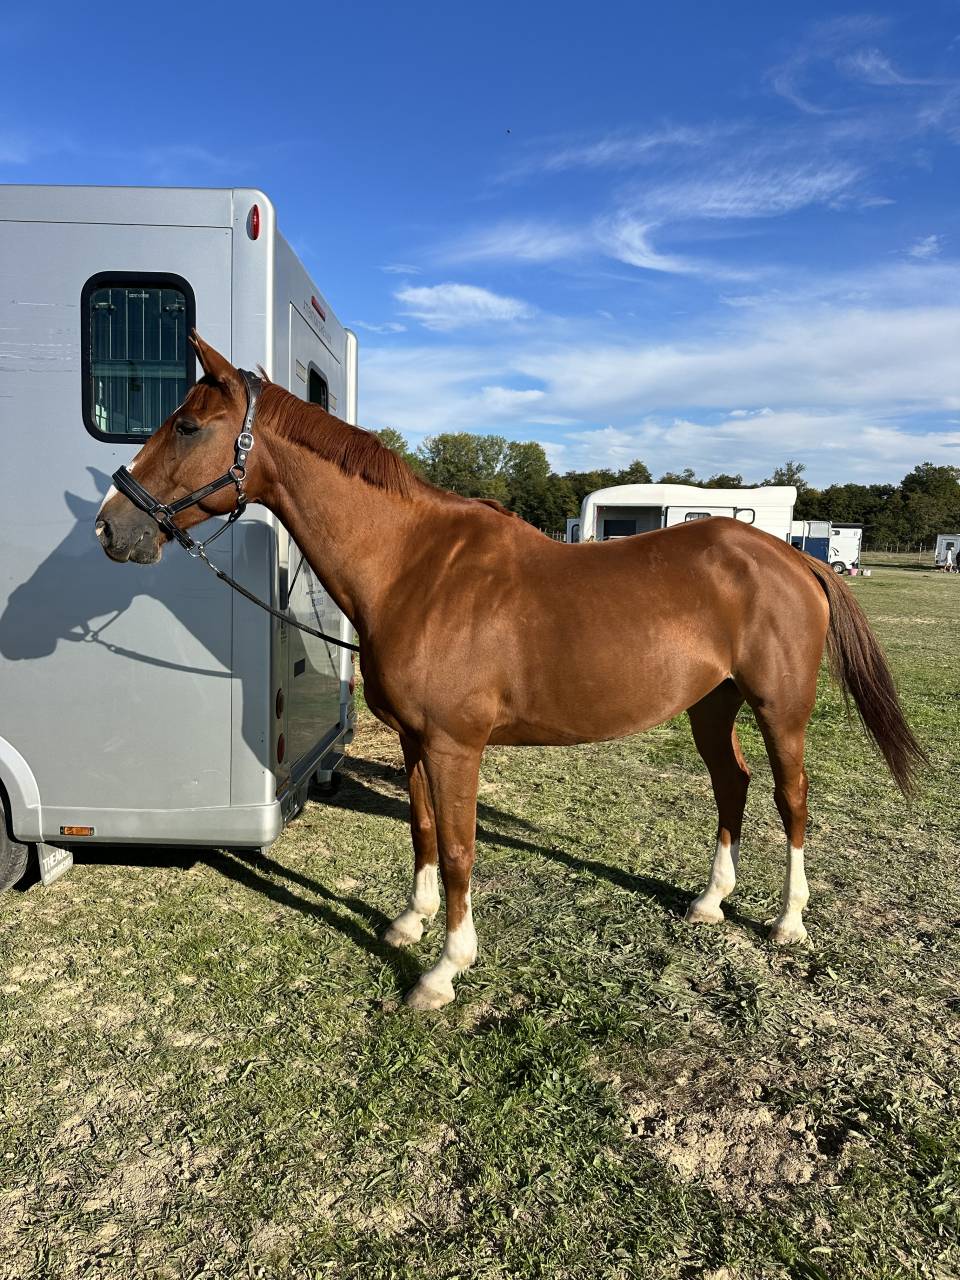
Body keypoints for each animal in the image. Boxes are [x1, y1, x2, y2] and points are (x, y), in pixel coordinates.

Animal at [95, 333, 924, 1010]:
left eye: (188, 425)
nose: (112, 525)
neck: (412, 567)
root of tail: (793, 559)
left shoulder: (456, 745)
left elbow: (462, 849)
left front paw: (443, 970)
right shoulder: (415, 742)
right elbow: (425, 831)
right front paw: (410, 922)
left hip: (779, 707)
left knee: (792, 799)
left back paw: (787, 921)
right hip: (711, 704)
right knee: (734, 784)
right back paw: (709, 902)